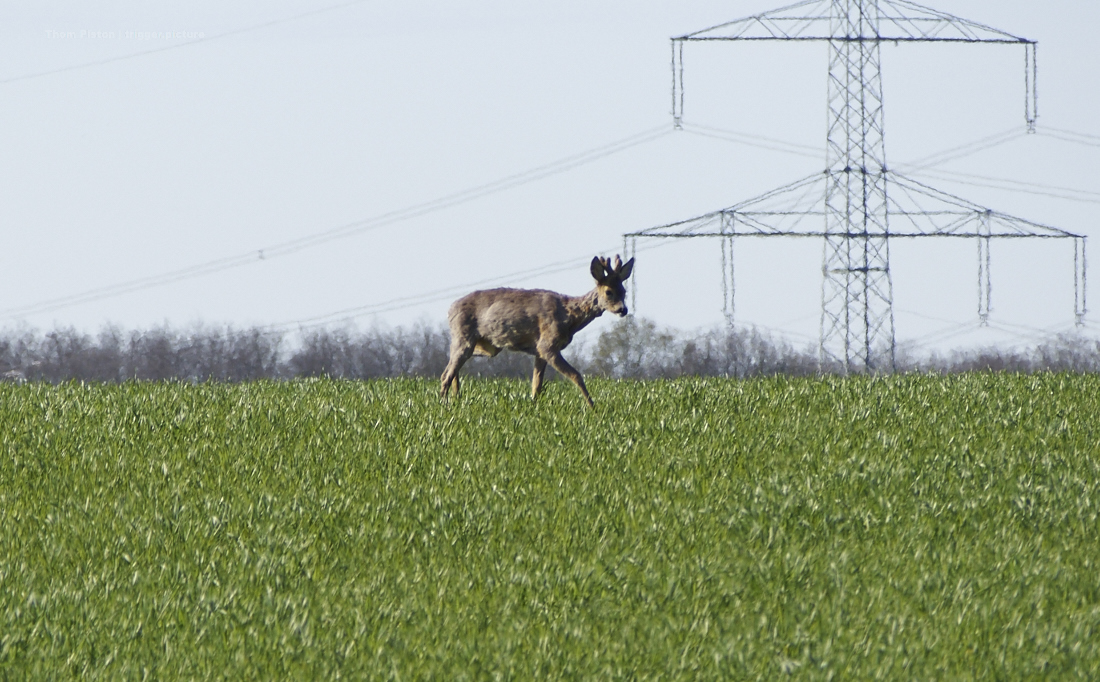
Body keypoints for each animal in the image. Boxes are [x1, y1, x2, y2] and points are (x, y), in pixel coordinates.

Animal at [440, 254, 638, 404]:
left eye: (624, 291)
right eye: (608, 292)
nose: (623, 309)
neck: (569, 316)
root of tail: (450, 309)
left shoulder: (539, 351)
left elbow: (537, 385)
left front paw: (534, 406)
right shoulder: (547, 344)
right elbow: (576, 375)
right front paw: (592, 406)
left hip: (487, 346)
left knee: (451, 367)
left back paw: (456, 396)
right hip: (464, 336)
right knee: (446, 374)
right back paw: (444, 403)